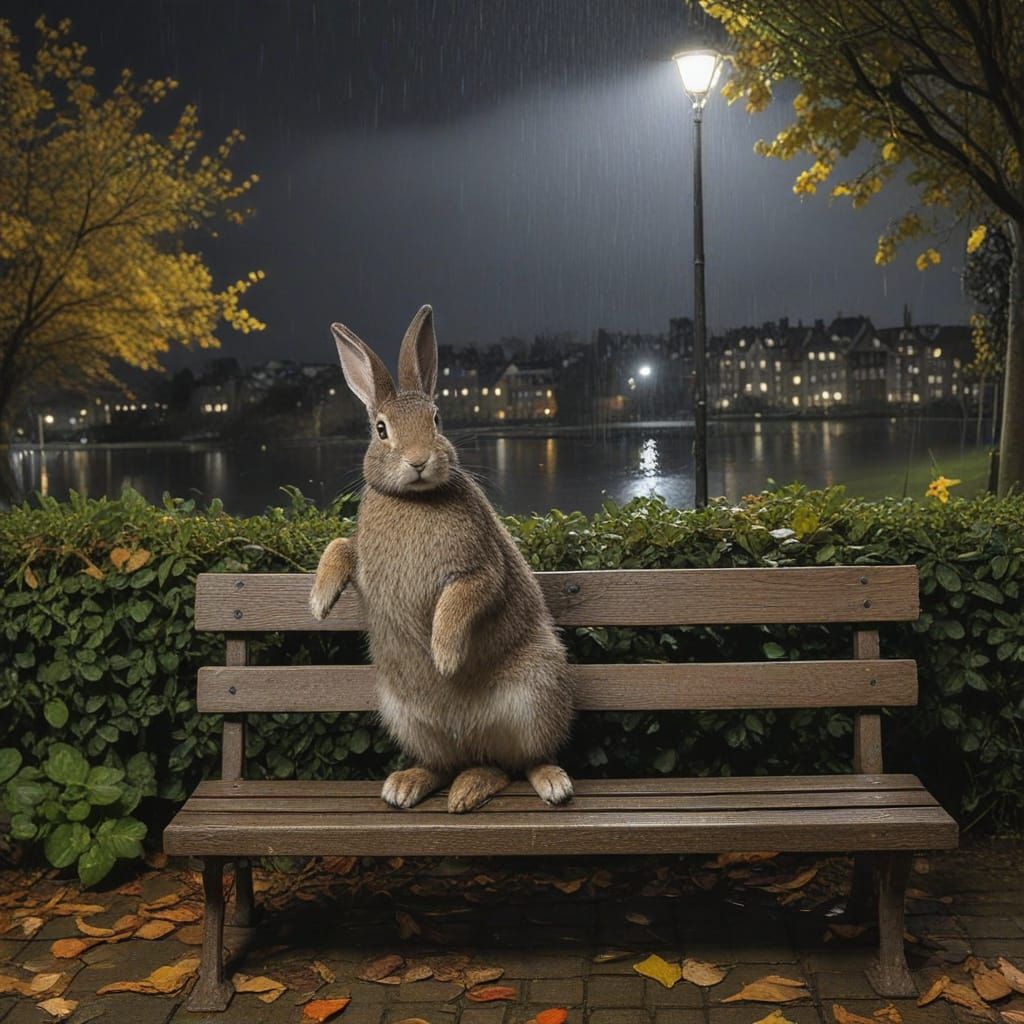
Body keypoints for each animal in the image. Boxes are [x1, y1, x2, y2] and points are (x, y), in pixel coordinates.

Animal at [309, 305, 575, 814]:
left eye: (436, 419)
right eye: (381, 429)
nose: (418, 461)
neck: (415, 498)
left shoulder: (481, 567)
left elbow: (462, 597)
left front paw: (445, 657)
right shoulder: (365, 560)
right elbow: (340, 546)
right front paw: (318, 603)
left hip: (536, 695)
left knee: (518, 763)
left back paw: (545, 784)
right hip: (405, 716)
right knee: (455, 764)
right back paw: (409, 786)